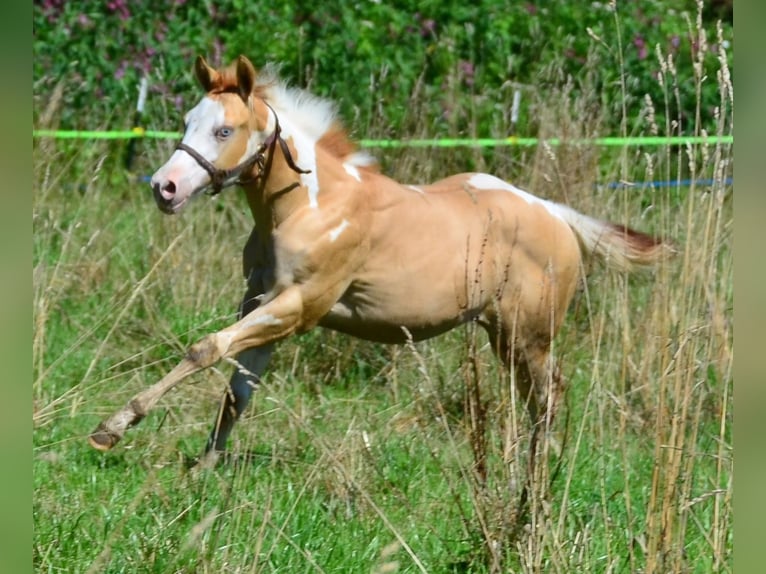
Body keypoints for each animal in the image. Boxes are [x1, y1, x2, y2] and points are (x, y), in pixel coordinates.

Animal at [89, 55, 672, 463]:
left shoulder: (299, 308)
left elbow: (204, 350)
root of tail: (554, 214)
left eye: (224, 130)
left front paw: (113, 427)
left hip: (527, 336)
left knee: (548, 397)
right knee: (537, 400)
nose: (164, 188)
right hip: (507, 337)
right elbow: (238, 389)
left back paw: (537, 477)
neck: (311, 207)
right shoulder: (260, 304)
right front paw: (206, 467)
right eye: (187, 120)